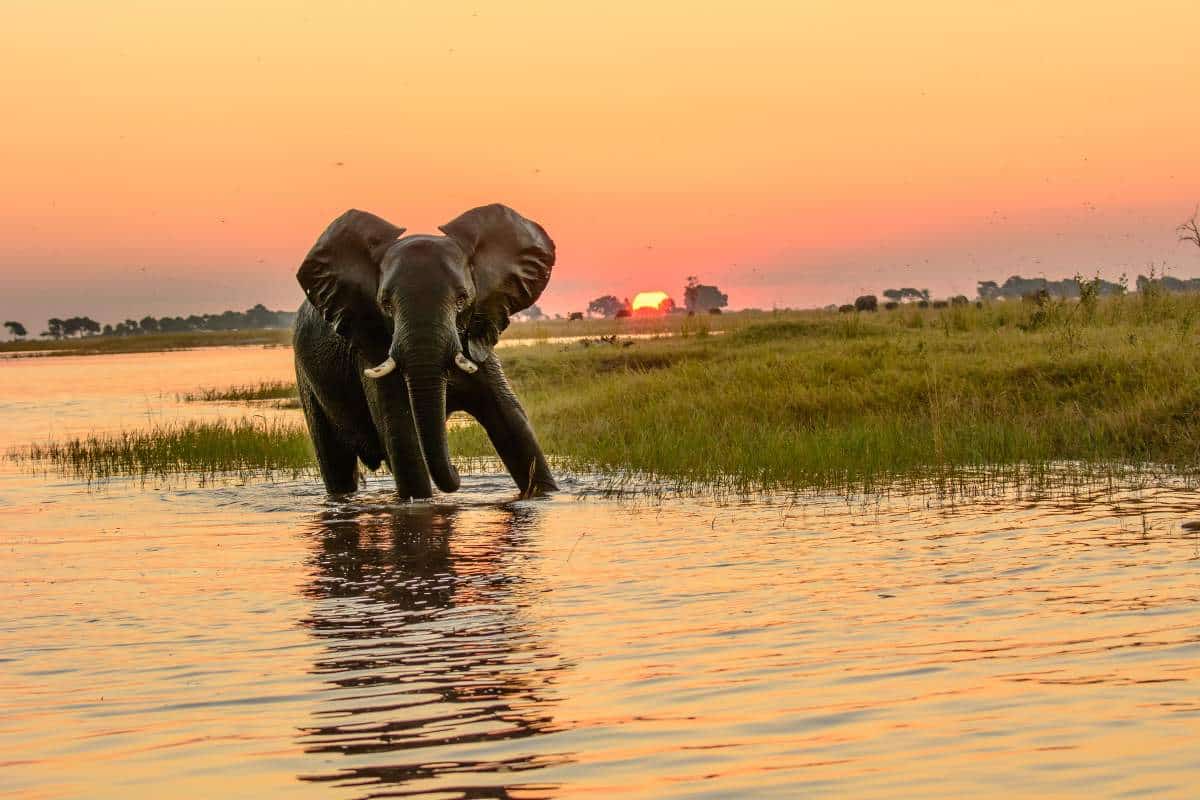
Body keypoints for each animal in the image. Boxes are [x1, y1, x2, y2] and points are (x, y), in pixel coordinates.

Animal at [290, 203, 556, 496]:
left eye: (462, 299)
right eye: (385, 304)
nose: (458, 473)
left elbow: (514, 425)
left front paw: (545, 494)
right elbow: (403, 437)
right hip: (307, 380)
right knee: (335, 463)